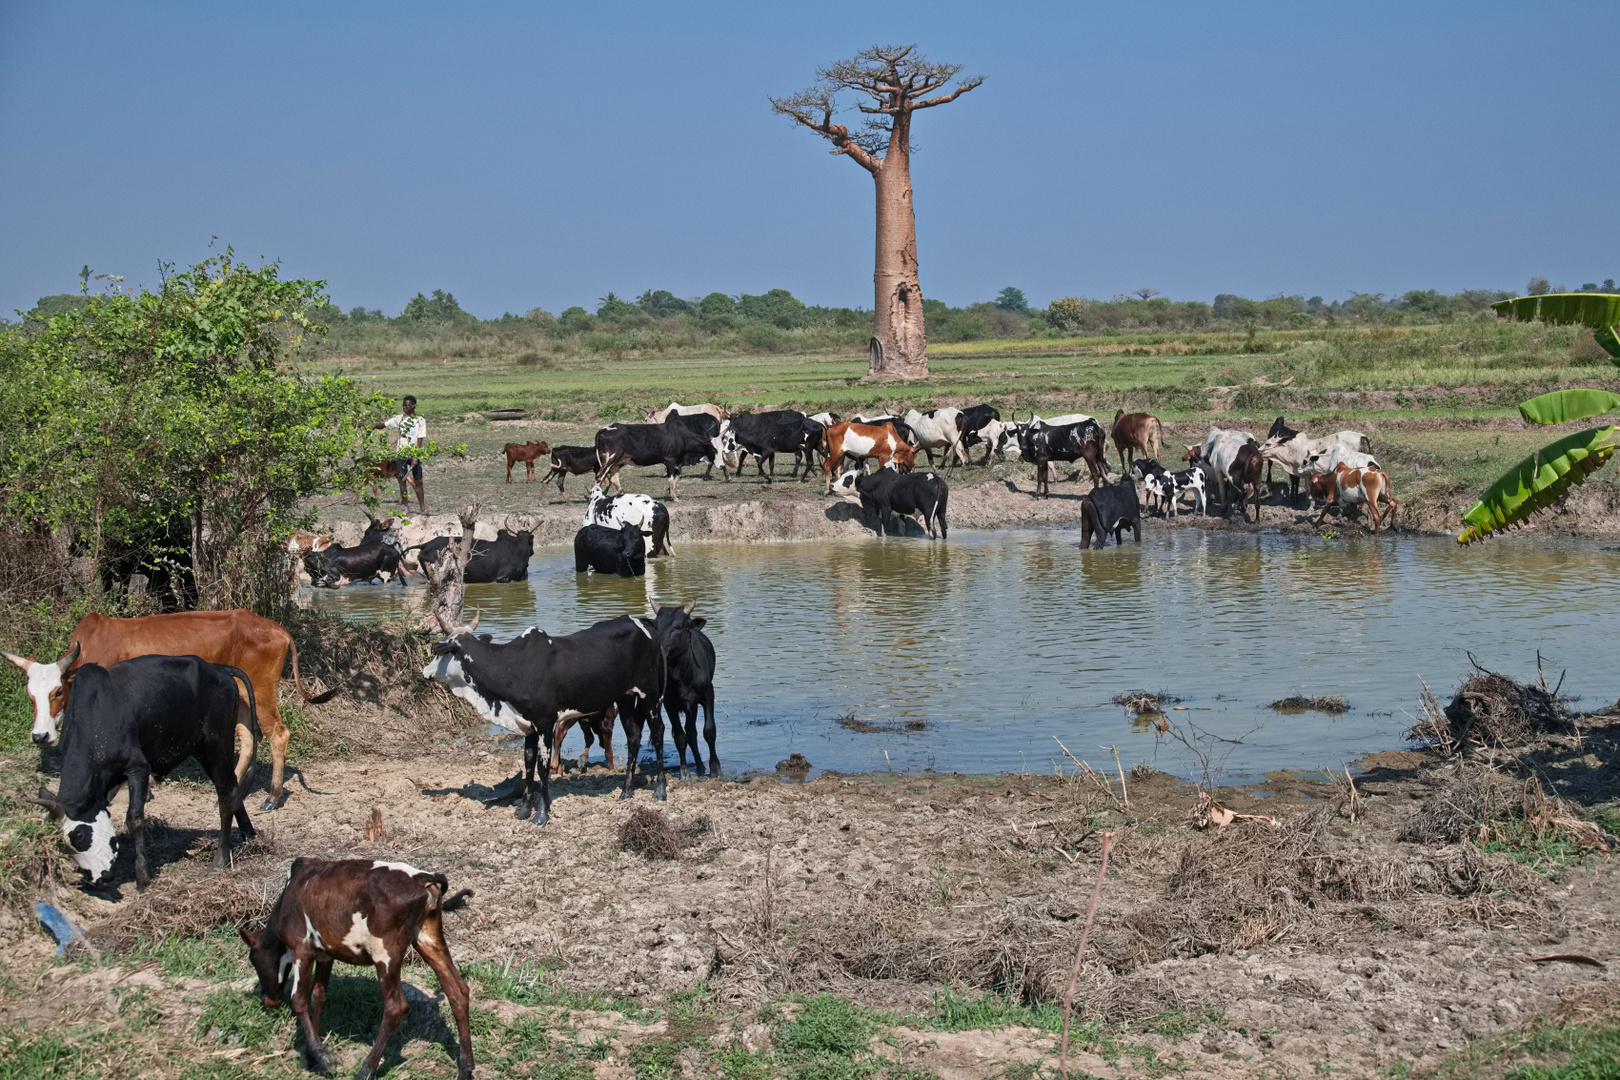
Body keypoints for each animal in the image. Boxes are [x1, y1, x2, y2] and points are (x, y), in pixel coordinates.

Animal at [3, 615, 336, 809]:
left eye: (57, 691)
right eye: (30, 694)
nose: (40, 735)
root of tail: (276, 628)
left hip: (261, 692)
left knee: (278, 734)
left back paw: (273, 796)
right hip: (241, 695)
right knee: (248, 738)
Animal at [34, 650, 259, 887]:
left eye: (80, 836)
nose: (100, 879)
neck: (97, 718)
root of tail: (218, 669)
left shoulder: (138, 768)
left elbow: (134, 819)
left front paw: (143, 875)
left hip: (218, 742)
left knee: (225, 795)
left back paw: (221, 859)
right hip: (202, 748)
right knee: (233, 787)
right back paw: (248, 833)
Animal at [238, 861, 473, 1080]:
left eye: (254, 960)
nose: (269, 1000)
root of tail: (423, 877)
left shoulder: (301, 949)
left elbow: (299, 999)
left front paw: (323, 1056)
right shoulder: (325, 954)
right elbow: (318, 996)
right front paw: (311, 1057)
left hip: (385, 953)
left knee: (395, 1007)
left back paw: (365, 1070)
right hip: (428, 940)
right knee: (458, 991)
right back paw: (466, 1068)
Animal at [424, 612, 670, 822]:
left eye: (441, 650)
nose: (425, 672)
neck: (512, 667)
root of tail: (645, 624)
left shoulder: (545, 722)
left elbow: (542, 766)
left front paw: (541, 813)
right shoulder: (528, 724)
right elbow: (529, 763)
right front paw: (524, 808)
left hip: (651, 694)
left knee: (658, 733)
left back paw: (660, 789)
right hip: (626, 696)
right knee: (634, 736)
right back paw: (626, 791)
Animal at [651, 599, 716, 777]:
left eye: (679, 626)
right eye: (656, 626)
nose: (660, 649)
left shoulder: (708, 694)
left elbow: (709, 731)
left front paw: (716, 768)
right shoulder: (669, 703)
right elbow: (680, 736)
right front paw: (684, 771)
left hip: (692, 705)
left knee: (692, 731)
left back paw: (701, 767)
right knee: (689, 732)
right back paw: (698, 767)